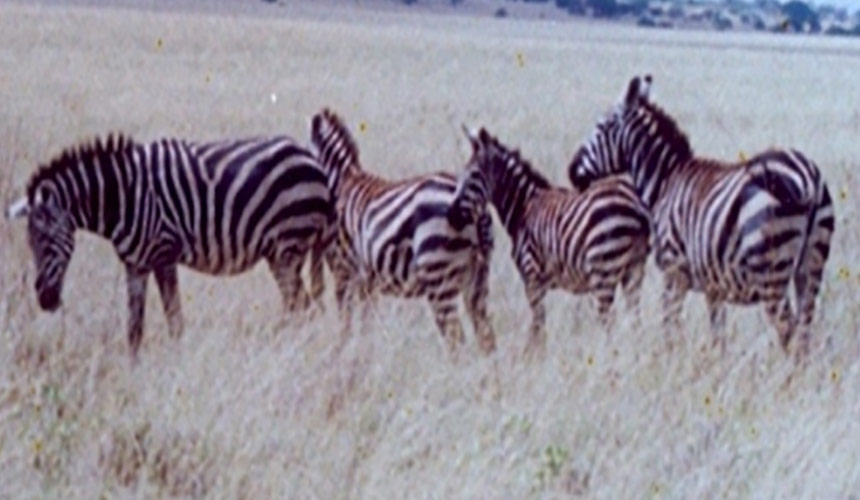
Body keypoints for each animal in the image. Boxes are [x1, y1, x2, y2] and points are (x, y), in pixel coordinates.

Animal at [5, 133, 334, 359]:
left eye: (45, 241)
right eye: (30, 243)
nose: (45, 300)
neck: (123, 198)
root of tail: (312, 159)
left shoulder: (164, 254)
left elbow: (174, 321)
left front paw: (177, 362)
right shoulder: (135, 264)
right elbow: (134, 328)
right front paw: (134, 369)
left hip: (287, 247)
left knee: (301, 307)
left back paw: (288, 351)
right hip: (284, 252)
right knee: (300, 306)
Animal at [309, 108, 496, 357]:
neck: (342, 181)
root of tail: (478, 209)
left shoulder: (343, 270)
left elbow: (346, 322)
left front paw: (343, 352)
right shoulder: (367, 281)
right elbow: (367, 324)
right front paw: (363, 355)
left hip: (438, 278)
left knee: (455, 338)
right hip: (477, 277)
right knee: (486, 336)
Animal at [463, 127, 651, 355]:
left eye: (473, 175)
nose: (452, 210)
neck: (524, 209)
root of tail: (635, 203)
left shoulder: (532, 276)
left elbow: (538, 324)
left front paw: (536, 356)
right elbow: (538, 324)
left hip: (604, 269)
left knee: (609, 321)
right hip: (634, 268)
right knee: (635, 319)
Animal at [568, 75, 835, 357]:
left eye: (600, 127)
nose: (571, 171)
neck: (666, 182)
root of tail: (806, 177)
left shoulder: (674, 268)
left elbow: (669, 321)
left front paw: (668, 356)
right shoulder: (713, 282)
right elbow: (717, 332)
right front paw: (716, 362)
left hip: (770, 270)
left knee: (787, 328)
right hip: (812, 265)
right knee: (805, 327)